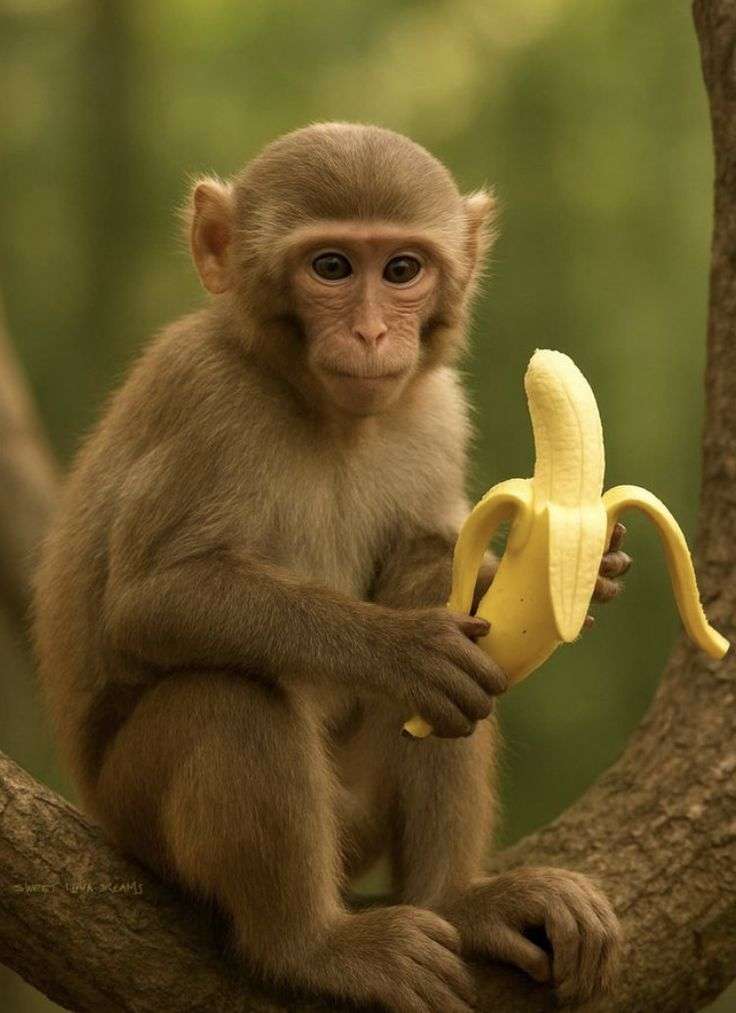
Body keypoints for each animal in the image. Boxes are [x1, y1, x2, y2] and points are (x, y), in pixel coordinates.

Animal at [33, 122, 629, 1012]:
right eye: (332, 267)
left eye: (403, 269)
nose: (375, 335)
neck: (323, 411)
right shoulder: (203, 397)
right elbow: (151, 600)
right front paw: (401, 649)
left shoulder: (435, 407)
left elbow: (435, 560)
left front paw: (585, 575)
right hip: (136, 815)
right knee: (229, 694)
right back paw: (311, 945)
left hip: (356, 816)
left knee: (426, 584)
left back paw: (459, 900)